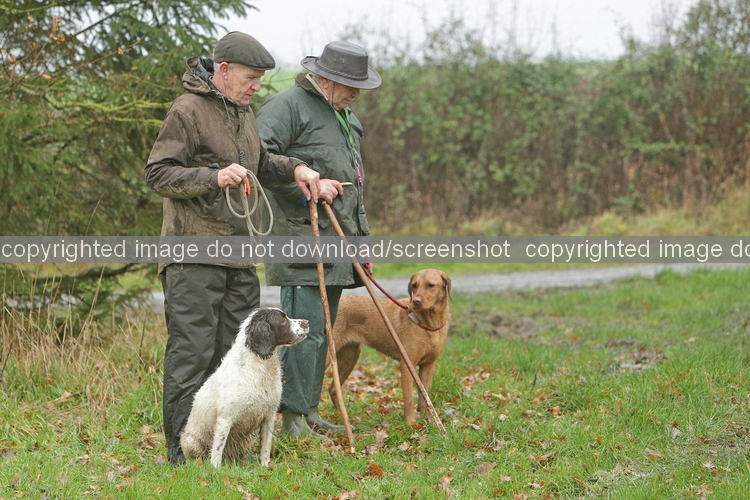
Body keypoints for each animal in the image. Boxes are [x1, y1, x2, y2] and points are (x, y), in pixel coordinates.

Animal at [180, 308, 308, 467]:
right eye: (283, 320)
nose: (307, 322)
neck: (259, 368)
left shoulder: (269, 415)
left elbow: (265, 447)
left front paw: (265, 466)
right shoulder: (225, 418)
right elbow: (217, 450)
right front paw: (215, 469)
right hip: (190, 441)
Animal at [329, 269, 451, 425]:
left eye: (430, 285)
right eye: (414, 285)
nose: (416, 301)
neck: (429, 324)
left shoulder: (428, 366)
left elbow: (424, 397)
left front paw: (427, 420)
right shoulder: (407, 365)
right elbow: (409, 399)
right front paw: (411, 424)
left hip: (349, 357)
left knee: (332, 388)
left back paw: (343, 418)